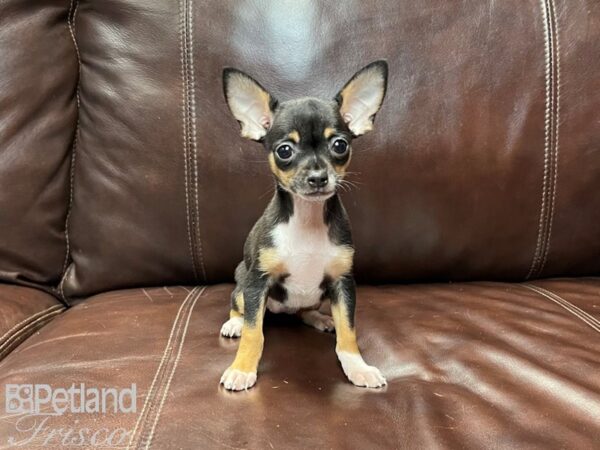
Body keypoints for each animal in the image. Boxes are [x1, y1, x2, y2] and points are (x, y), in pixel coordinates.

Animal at [220, 59, 390, 390]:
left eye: (340, 145)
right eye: (284, 150)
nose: (317, 177)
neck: (307, 219)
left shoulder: (342, 283)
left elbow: (348, 331)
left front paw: (357, 366)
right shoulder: (258, 283)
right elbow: (254, 334)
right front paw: (242, 368)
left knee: (304, 311)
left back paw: (320, 318)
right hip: (243, 280)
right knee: (239, 306)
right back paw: (234, 322)